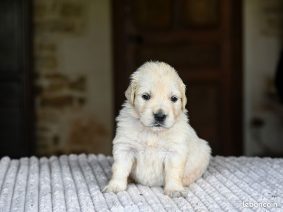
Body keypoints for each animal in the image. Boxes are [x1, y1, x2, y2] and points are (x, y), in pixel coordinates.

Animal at [104, 61, 211, 197]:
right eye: (146, 96)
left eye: (173, 98)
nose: (160, 116)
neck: (152, 133)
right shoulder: (125, 147)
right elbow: (119, 169)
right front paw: (115, 186)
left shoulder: (175, 151)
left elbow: (174, 172)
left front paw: (174, 189)